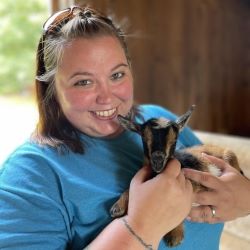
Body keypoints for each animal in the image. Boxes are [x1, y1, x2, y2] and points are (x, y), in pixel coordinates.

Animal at [110, 105, 243, 246]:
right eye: (143, 138)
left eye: (174, 141)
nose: (158, 160)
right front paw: (117, 207)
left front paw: (175, 234)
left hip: (228, 155)